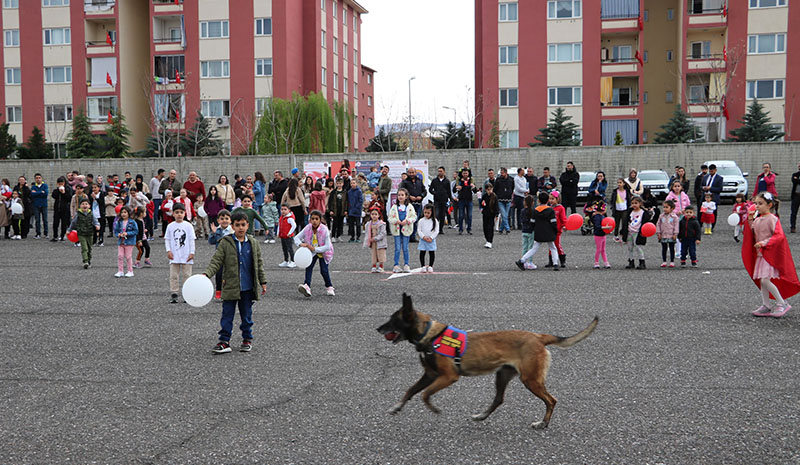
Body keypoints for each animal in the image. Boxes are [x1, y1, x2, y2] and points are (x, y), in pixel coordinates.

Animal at [378, 294, 596, 428]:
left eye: (393, 320)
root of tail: (538, 337)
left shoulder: (448, 377)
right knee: (499, 399)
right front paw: (397, 407)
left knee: (551, 400)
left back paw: (543, 423)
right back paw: (482, 416)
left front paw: (434, 408)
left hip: (530, 380)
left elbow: (424, 394)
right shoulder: (430, 375)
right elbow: (411, 390)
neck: (430, 334)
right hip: (503, 376)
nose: (378, 328)